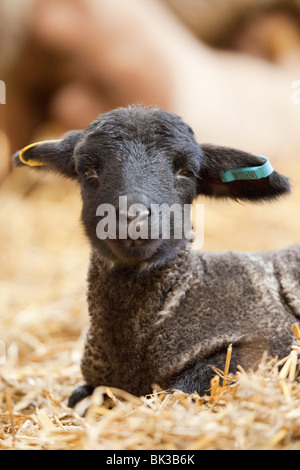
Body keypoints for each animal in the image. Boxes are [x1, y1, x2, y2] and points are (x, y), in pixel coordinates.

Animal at [12, 106, 300, 408]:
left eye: (187, 171)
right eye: (87, 170)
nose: (133, 218)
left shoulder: (272, 339)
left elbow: (184, 388)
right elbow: (78, 398)